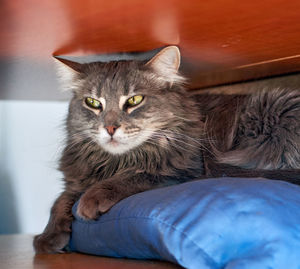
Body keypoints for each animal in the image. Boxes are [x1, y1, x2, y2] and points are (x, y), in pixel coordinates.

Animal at [33, 45, 300, 252]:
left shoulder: (181, 169)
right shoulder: (76, 180)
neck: (116, 162)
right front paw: (47, 237)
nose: (110, 128)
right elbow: (60, 200)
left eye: (134, 100)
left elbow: (132, 177)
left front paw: (91, 200)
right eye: (92, 103)